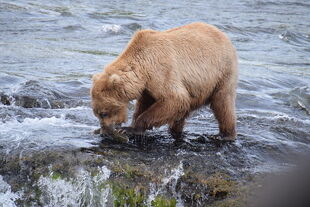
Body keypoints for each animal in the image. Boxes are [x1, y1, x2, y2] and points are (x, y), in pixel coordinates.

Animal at [91, 21, 239, 141]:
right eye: (97, 114)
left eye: (104, 113)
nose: (104, 131)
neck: (142, 67)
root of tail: (223, 34)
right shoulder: (147, 85)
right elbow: (146, 102)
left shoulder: (161, 70)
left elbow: (175, 98)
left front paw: (129, 129)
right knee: (183, 112)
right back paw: (175, 131)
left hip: (222, 72)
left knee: (222, 102)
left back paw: (225, 135)